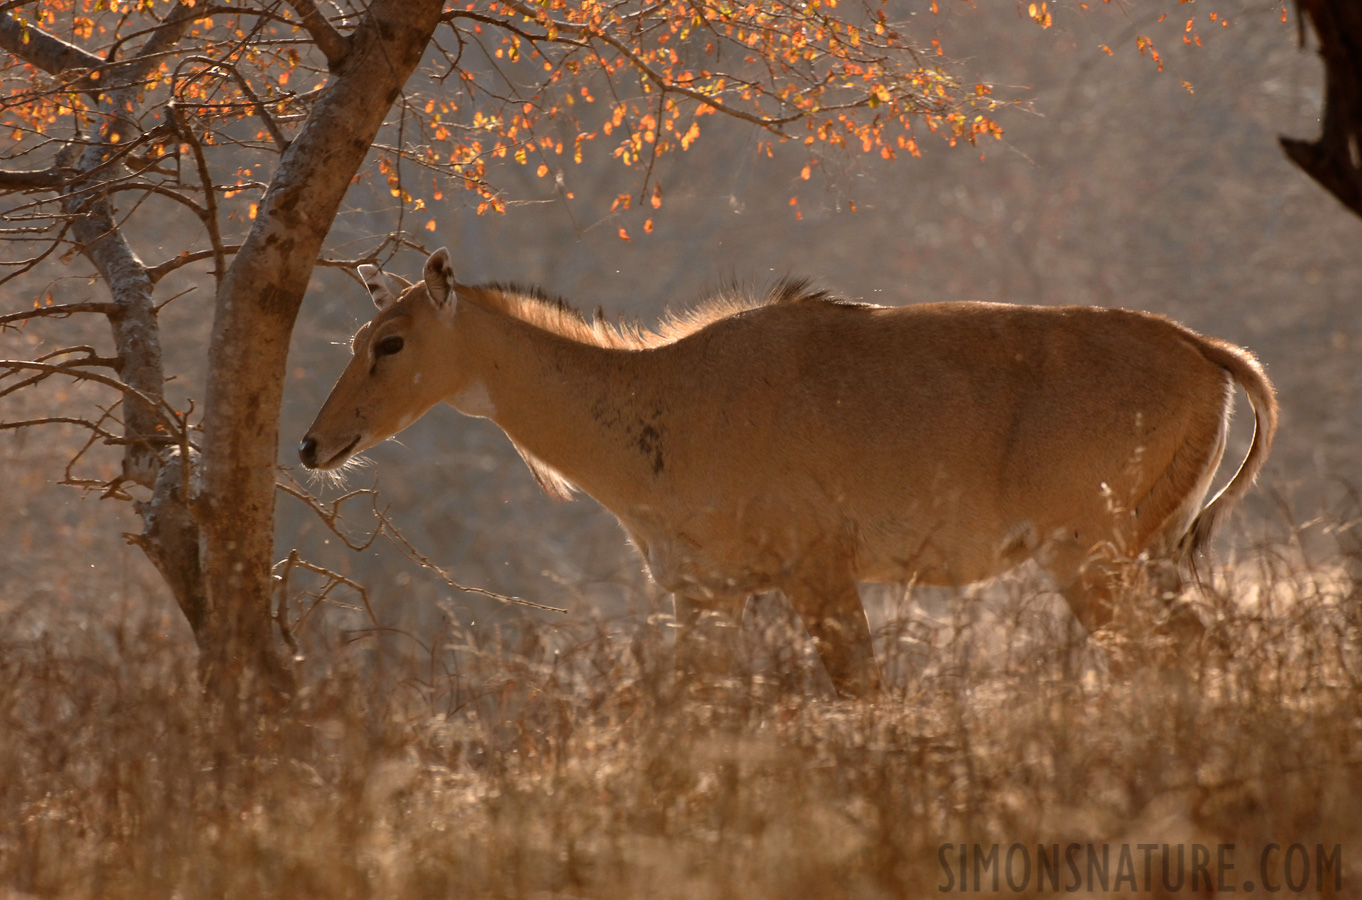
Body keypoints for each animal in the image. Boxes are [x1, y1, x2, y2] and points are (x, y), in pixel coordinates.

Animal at [298, 249, 1274, 697]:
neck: (661, 410)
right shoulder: (706, 592)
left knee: (1165, 655)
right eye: (355, 336)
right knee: (1204, 646)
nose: (312, 444)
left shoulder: (818, 569)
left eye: (390, 342)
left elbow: (863, 693)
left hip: (1092, 550)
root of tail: (1210, 354)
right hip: (1152, 547)